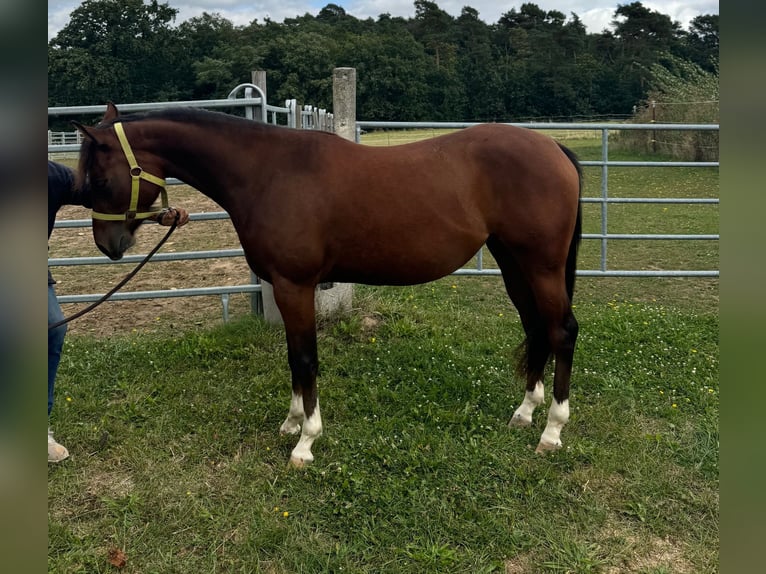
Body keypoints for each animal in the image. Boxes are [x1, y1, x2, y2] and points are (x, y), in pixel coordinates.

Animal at [75, 104, 584, 468]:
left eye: (99, 179)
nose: (108, 246)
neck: (268, 172)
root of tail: (553, 149)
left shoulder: (294, 286)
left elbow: (305, 358)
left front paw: (306, 441)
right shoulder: (287, 289)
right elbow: (292, 358)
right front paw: (291, 421)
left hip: (541, 265)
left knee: (562, 331)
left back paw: (552, 430)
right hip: (513, 262)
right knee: (536, 328)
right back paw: (524, 412)